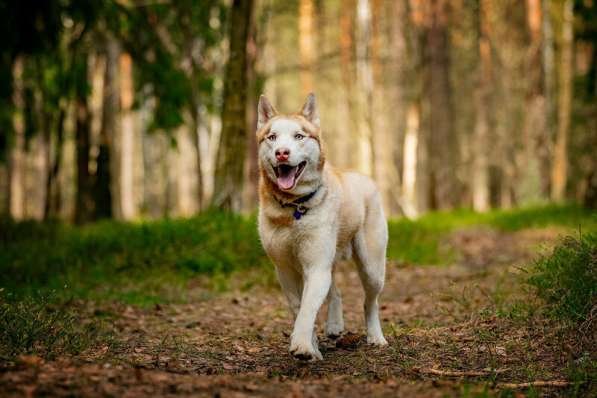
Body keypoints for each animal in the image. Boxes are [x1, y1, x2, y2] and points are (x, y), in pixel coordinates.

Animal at [258, 93, 388, 360]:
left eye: (299, 136)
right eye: (272, 137)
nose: (282, 153)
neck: (293, 207)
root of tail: (364, 176)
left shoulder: (316, 265)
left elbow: (308, 308)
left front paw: (302, 345)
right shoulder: (285, 268)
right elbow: (298, 307)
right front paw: (313, 345)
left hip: (372, 266)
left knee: (370, 301)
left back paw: (375, 336)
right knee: (335, 291)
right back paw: (335, 325)